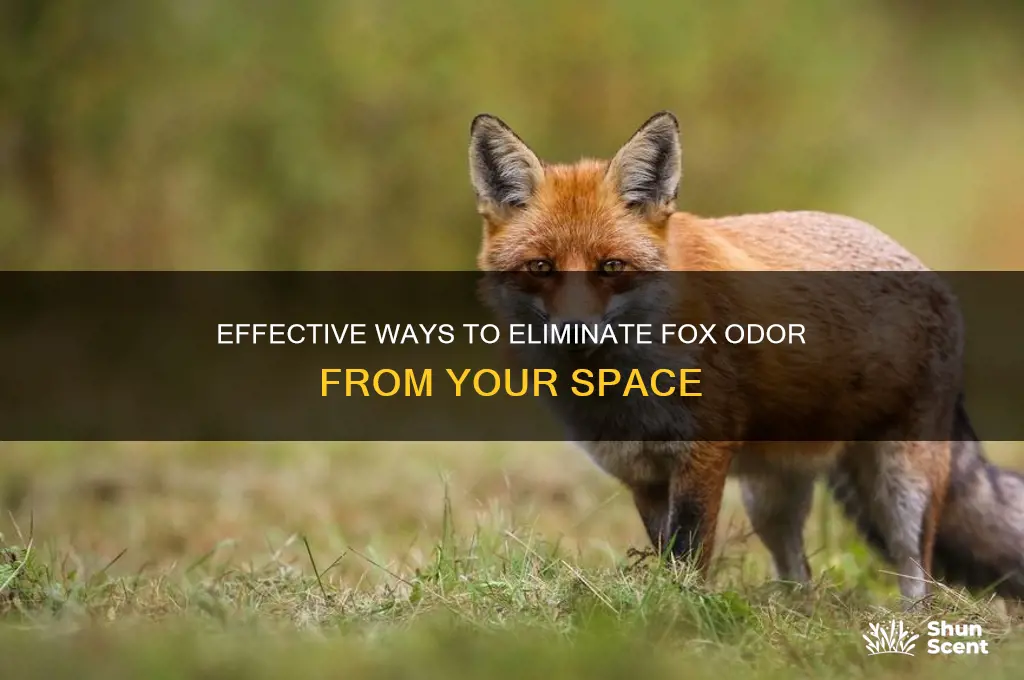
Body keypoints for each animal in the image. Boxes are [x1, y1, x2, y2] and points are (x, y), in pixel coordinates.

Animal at [466, 110, 1024, 606]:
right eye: (542, 267)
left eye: (612, 267)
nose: (574, 331)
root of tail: (915, 259)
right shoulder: (643, 472)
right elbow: (665, 549)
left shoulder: (702, 453)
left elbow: (689, 551)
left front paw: (680, 612)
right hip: (771, 498)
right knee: (799, 575)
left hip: (903, 483)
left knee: (917, 571)